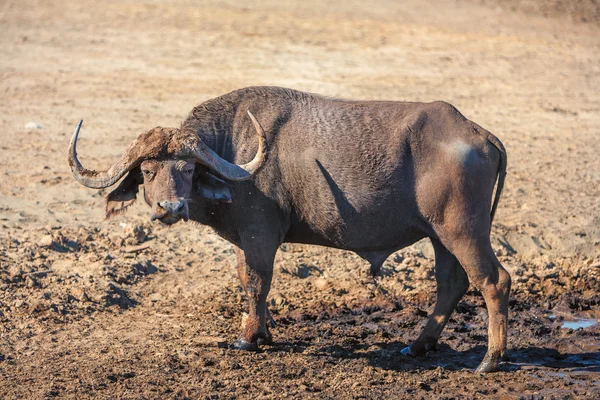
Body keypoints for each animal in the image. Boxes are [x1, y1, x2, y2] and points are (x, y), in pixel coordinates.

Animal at [68, 86, 508, 374]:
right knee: (452, 283)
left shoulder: (260, 235)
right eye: (147, 170)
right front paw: (262, 332)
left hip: (463, 231)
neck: (235, 150)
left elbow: (256, 281)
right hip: (440, 236)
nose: (170, 207)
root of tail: (477, 132)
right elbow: (248, 280)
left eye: (189, 169)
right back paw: (417, 346)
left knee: (493, 280)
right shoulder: (244, 240)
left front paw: (248, 338)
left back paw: (489, 360)